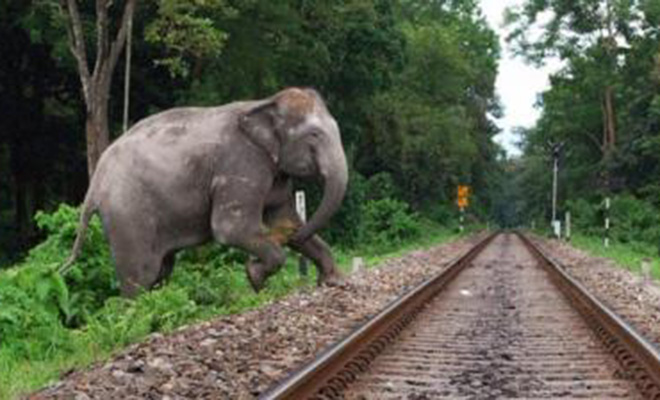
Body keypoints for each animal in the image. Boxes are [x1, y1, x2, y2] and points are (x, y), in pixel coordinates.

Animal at [60, 88, 350, 296]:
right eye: (314, 135)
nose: (286, 238)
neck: (265, 102)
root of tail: (95, 184)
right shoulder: (241, 163)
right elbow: (230, 228)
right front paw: (255, 277)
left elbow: (283, 218)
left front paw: (334, 282)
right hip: (127, 213)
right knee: (141, 275)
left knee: (161, 270)